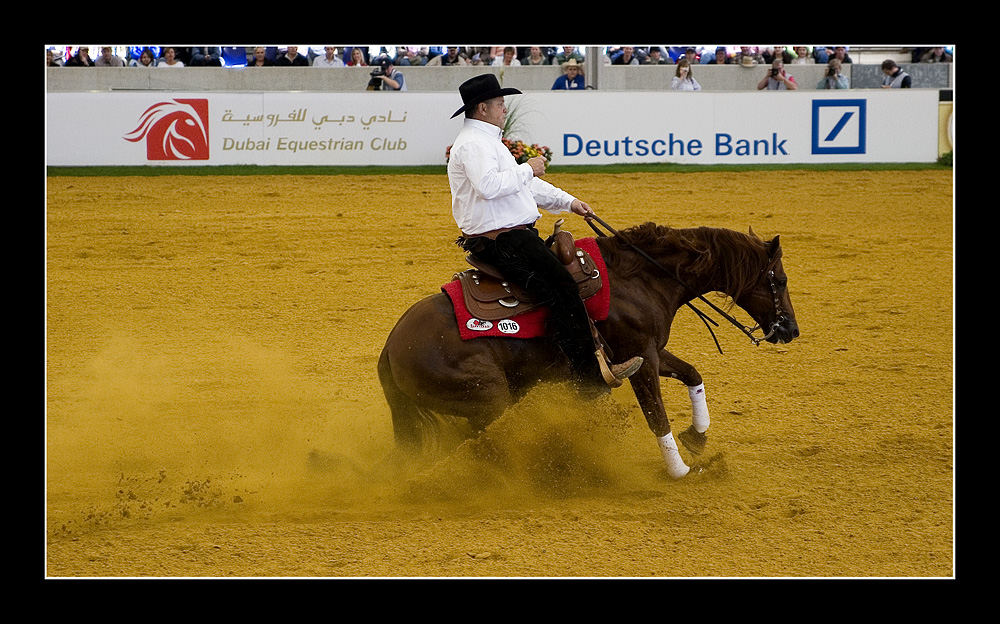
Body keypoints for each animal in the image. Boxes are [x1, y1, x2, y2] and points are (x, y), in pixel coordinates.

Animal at [378, 222, 800, 480]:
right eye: (780, 279)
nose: (791, 330)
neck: (640, 278)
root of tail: (390, 347)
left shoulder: (648, 352)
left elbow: (693, 373)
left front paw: (697, 437)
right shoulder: (640, 360)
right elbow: (656, 417)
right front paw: (680, 471)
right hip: (487, 398)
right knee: (484, 445)